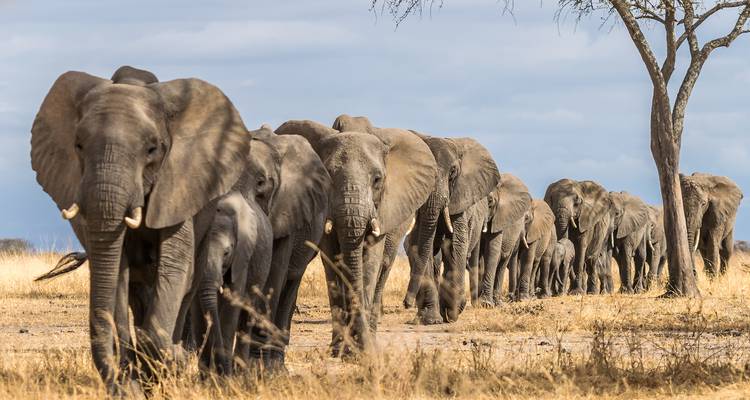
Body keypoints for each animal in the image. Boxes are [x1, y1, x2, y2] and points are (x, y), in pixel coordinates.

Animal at [30, 66, 251, 392]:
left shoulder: (179, 185)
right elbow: (116, 273)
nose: (117, 385)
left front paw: (170, 362)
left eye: (152, 149)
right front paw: (133, 383)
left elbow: (174, 267)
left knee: (187, 285)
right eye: (78, 146)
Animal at [191, 191, 273, 375]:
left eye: (226, 253)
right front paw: (205, 376)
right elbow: (197, 309)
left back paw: (240, 371)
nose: (221, 369)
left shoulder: (242, 256)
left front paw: (224, 376)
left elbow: (232, 302)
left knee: (246, 315)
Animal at [275, 118, 436, 356]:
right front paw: (340, 349)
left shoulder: (384, 208)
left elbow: (370, 262)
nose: (361, 350)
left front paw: (362, 349)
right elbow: (333, 262)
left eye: (377, 179)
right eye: (327, 176)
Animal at [477, 174, 532, 306]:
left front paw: (486, 303)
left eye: (490, 201)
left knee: (502, 262)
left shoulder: (499, 217)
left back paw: (497, 302)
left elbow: (492, 251)